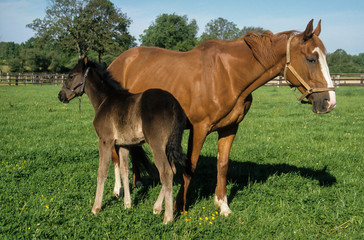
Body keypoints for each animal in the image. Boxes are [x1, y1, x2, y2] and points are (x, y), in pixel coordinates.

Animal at [107, 19, 336, 217]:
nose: (329, 102)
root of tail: (118, 61)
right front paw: (179, 206)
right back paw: (118, 191)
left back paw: (137, 182)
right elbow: (190, 166)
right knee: (115, 154)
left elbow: (223, 165)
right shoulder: (198, 129)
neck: (228, 75)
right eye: (311, 59)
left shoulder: (230, 128)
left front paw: (222, 205)